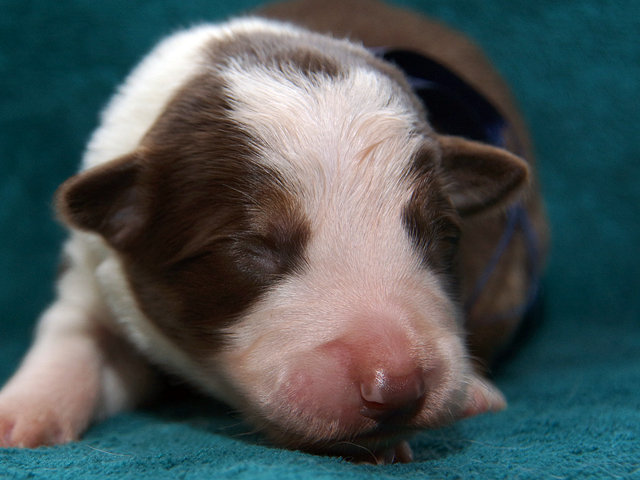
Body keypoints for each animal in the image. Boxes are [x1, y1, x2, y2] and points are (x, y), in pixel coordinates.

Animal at [0, 0, 547, 464]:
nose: (396, 386)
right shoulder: (94, 272)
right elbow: (73, 334)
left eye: (444, 237)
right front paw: (21, 413)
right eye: (252, 248)